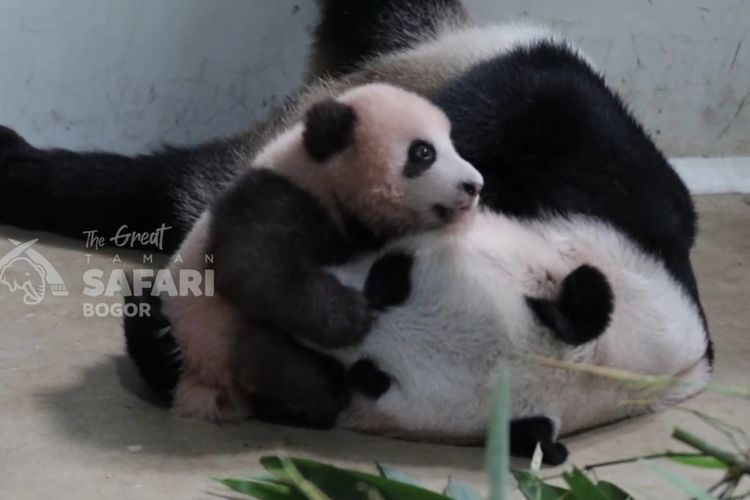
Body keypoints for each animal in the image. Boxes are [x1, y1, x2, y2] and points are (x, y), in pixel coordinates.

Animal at [134, 83, 484, 426]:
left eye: (452, 144)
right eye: (424, 152)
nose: (475, 185)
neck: (320, 172)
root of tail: (205, 395)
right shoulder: (278, 198)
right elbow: (252, 266)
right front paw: (355, 315)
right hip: (191, 331)